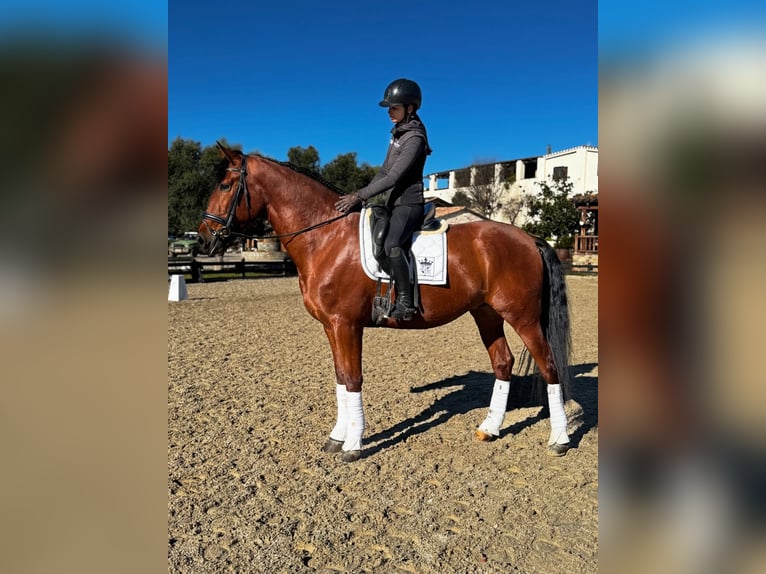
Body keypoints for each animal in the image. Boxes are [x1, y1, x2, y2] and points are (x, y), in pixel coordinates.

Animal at [197, 142, 572, 462]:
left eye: (226, 186)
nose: (202, 239)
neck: (327, 237)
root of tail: (529, 238)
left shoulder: (346, 325)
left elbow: (352, 379)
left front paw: (353, 444)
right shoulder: (331, 327)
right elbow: (340, 377)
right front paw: (336, 437)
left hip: (523, 318)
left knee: (550, 366)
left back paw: (559, 440)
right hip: (487, 314)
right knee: (503, 362)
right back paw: (490, 429)